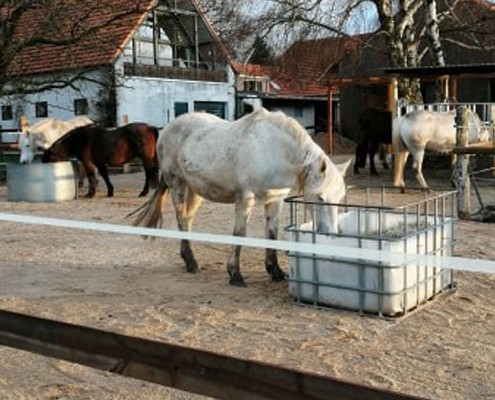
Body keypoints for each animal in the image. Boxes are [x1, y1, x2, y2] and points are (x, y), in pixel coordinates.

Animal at [133, 108, 352, 286]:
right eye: (321, 198)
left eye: (340, 198)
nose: (330, 234)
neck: (274, 149)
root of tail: (168, 128)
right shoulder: (245, 198)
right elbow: (239, 233)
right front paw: (235, 274)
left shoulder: (276, 200)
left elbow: (271, 233)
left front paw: (275, 271)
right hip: (177, 184)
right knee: (181, 219)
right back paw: (192, 262)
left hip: (195, 191)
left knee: (187, 219)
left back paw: (188, 259)